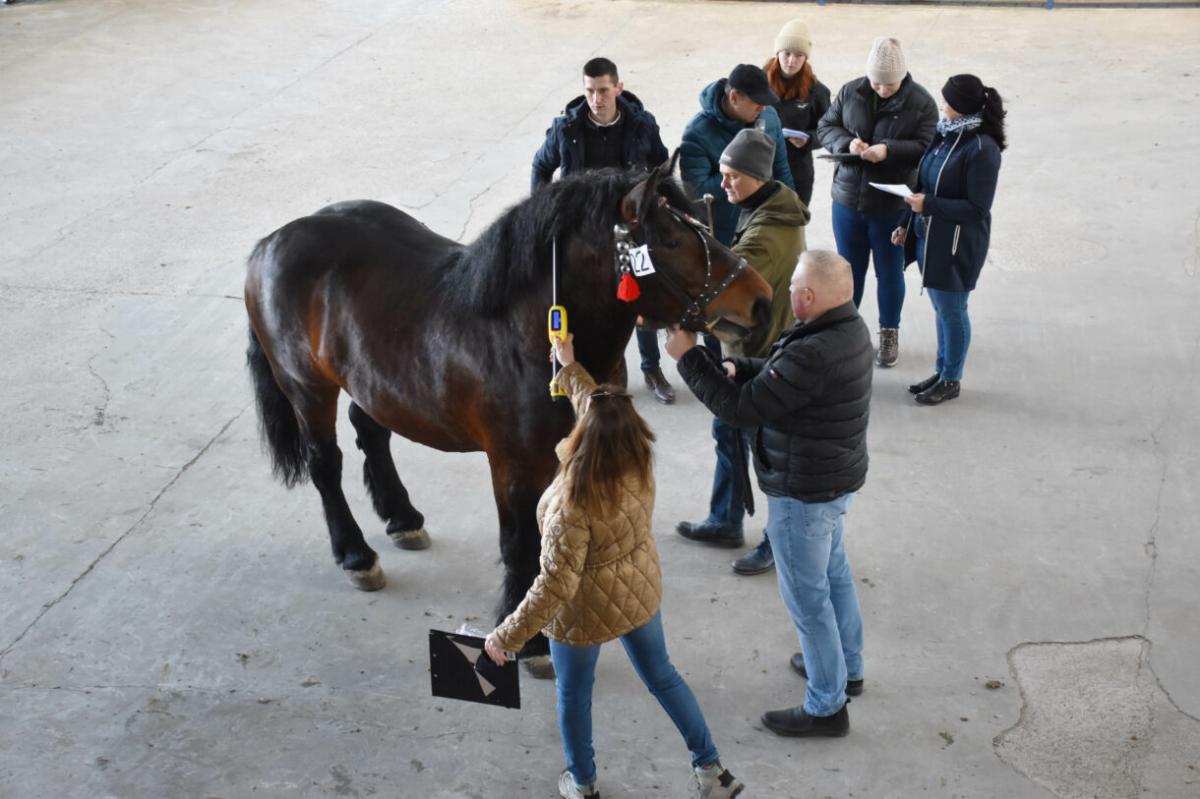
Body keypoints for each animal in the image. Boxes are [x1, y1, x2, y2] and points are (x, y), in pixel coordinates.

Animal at [243, 158, 771, 667]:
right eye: (670, 239)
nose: (761, 300)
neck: (522, 333)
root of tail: (270, 244)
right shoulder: (512, 464)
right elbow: (520, 543)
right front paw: (530, 640)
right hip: (307, 388)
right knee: (325, 464)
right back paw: (356, 554)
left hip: (374, 382)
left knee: (370, 431)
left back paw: (403, 518)